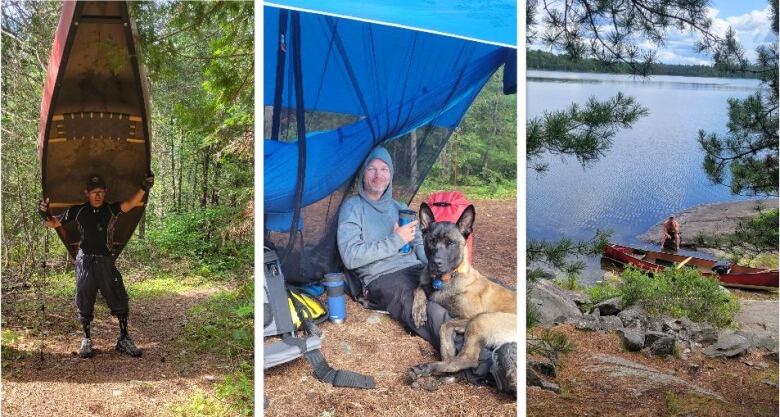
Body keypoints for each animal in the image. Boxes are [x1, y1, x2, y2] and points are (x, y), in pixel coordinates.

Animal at [408, 202, 516, 384]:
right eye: (432, 241)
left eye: (451, 243)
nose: (435, 263)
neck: (447, 278)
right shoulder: (426, 286)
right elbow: (419, 289)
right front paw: (418, 311)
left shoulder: (469, 316)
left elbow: (445, 325)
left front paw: (447, 352)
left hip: (481, 319)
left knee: (469, 359)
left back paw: (429, 368)